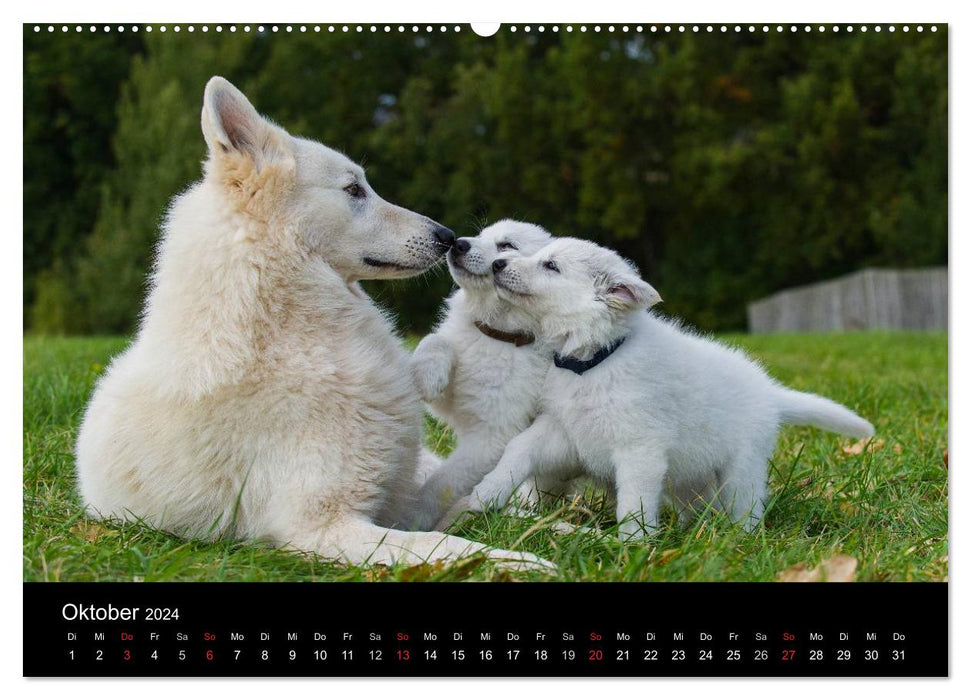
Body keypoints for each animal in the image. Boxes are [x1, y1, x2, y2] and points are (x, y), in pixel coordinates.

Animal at [73, 76, 552, 572]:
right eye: (354, 190)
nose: (447, 237)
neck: (283, 328)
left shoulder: (396, 497)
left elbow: (461, 512)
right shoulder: (322, 526)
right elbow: (443, 545)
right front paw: (518, 563)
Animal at [464, 235, 872, 536]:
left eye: (551, 266)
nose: (498, 265)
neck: (594, 360)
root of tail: (770, 392)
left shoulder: (640, 449)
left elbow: (634, 503)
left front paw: (631, 546)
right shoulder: (563, 428)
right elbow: (519, 448)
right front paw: (486, 493)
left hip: (741, 469)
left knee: (746, 507)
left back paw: (739, 541)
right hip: (691, 477)